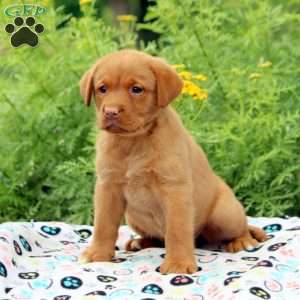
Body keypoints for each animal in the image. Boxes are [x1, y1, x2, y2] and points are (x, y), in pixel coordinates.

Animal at [79, 49, 268, 274]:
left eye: (136, 89)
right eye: (102, 89)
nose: (110, 112)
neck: (134, 142)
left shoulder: (175, 189)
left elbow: (177, 231)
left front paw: (178, 264)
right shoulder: (107, 186)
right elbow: (103, 225)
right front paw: (97, 254)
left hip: (224, 214)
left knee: (239, 227)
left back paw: (242, 241)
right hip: (134, 217)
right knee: (159, 239)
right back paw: (140, 242)